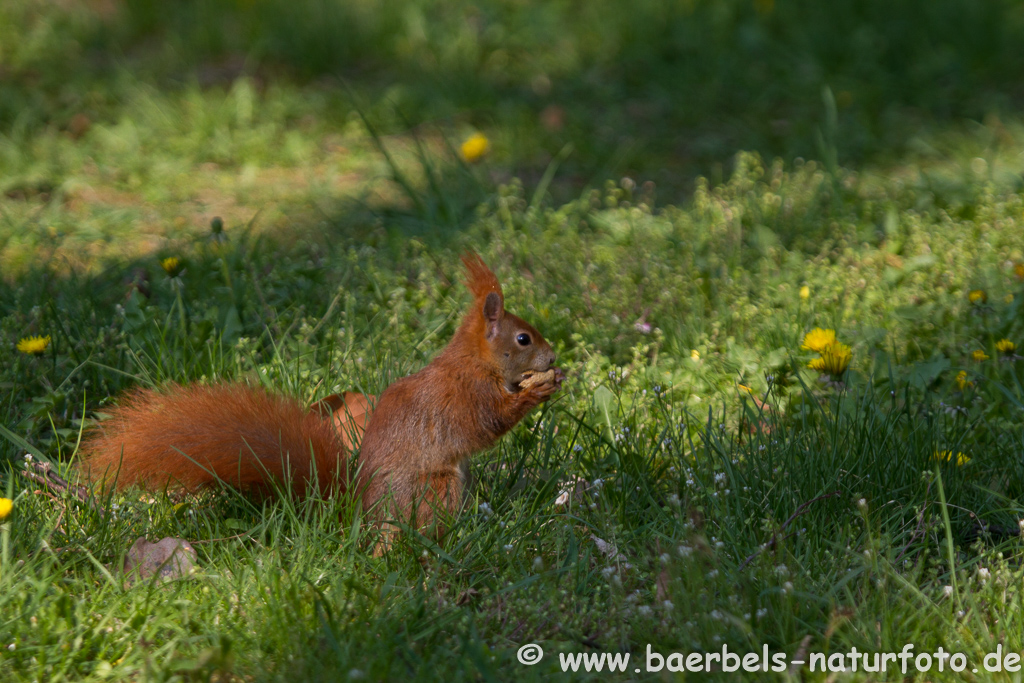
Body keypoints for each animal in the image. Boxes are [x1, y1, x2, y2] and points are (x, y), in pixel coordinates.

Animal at [80, 253, 565, 540]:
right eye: (523, 338)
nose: (554, 355)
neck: (474, 361)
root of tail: (361, 518)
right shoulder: (466, 396)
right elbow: (488, 422)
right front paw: (538, 390)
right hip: (435, 487)